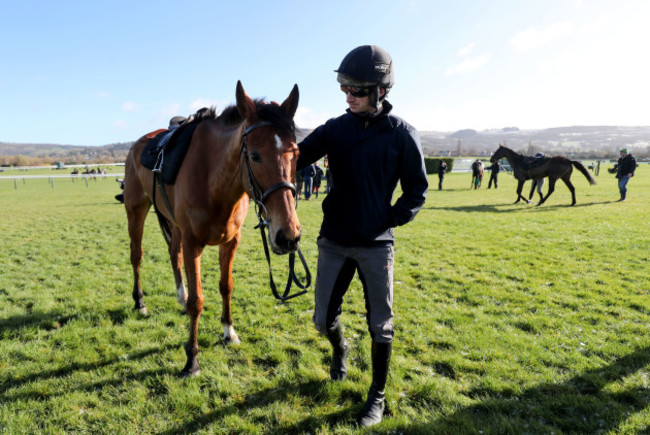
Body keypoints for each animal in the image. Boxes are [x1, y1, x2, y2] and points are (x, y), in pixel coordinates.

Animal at [124, 82, 302, 378]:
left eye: (296, 153)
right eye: (254, 155)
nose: (288, 236)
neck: (213, 180)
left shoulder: (230, 241)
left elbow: (225, 286)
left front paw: (229, 332)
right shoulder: (192, 242)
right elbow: (198, 300)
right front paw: (192, 360)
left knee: (173, 255)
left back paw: (180, 297)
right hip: (136, 211)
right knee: (136, 256)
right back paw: (140, 302)